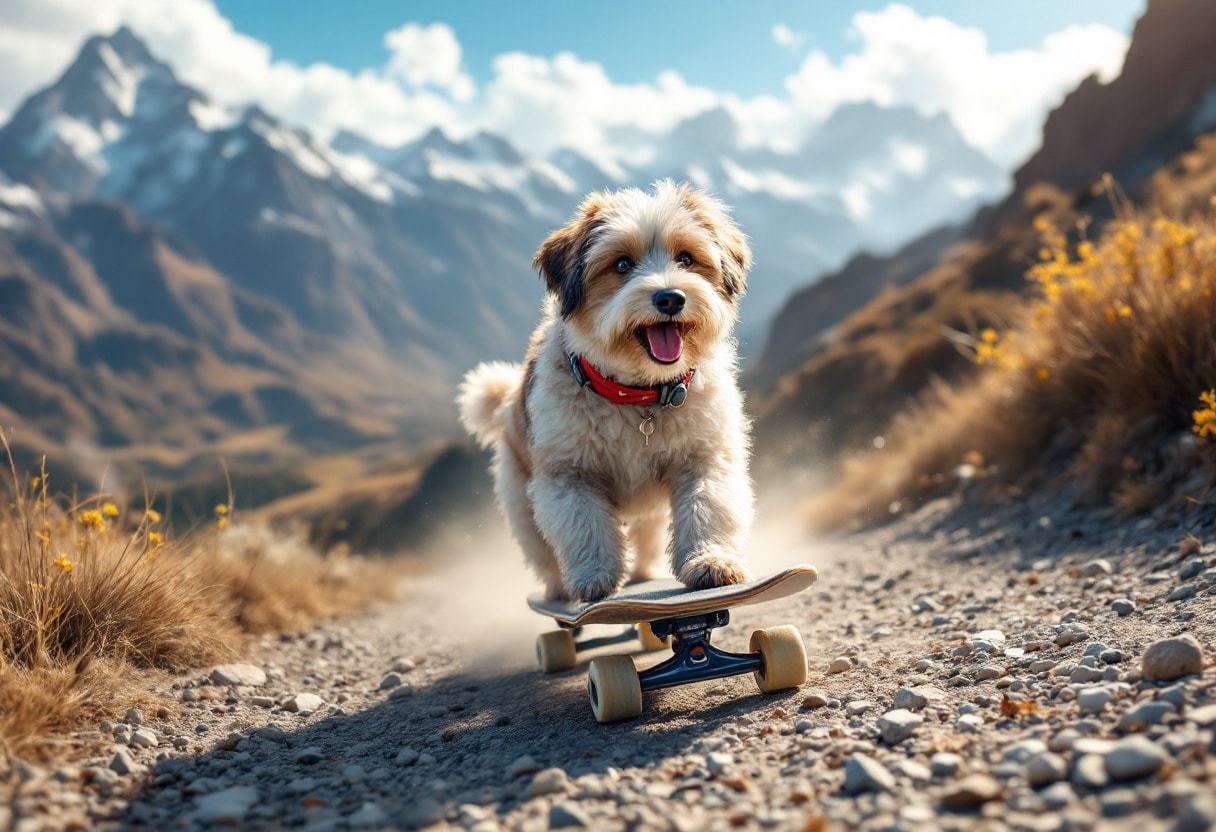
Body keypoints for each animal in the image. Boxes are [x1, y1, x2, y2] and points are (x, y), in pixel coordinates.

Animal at [459, 178, 753, 600]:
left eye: (685, 258)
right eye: (621, 265)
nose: (670, 298)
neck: (637, 395)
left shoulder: (705, 458)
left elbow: (707, 507)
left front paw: (710, 561)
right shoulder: (569, 476)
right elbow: (585, 527)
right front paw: (594, 577)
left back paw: (644, 573)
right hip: (521, 505)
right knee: (543, 554)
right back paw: (558, 591)